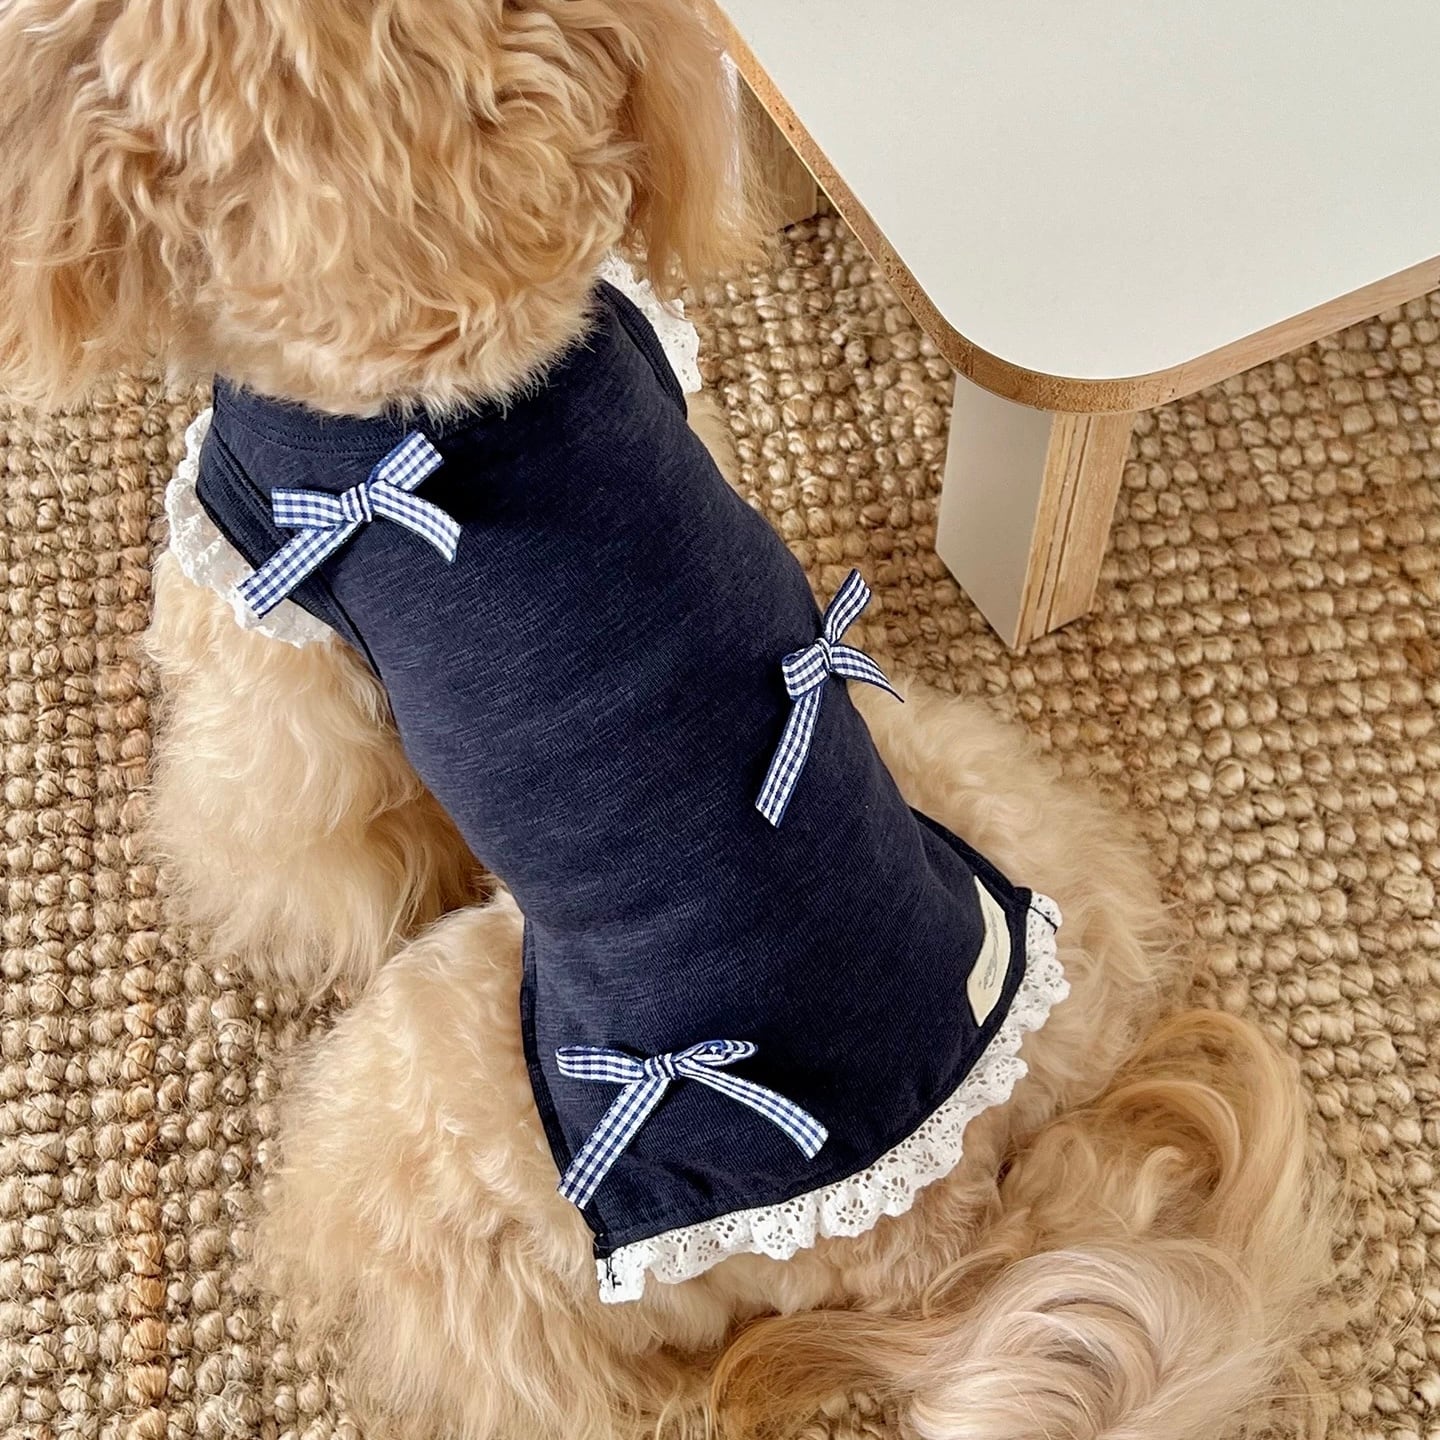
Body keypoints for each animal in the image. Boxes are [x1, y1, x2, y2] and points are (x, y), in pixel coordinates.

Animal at [0, 2, 1337, 1436]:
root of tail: (933, 1243)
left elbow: (279, 849)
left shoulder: (267, 635)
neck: (453, 336)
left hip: (423, 1085)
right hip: (987, 814)